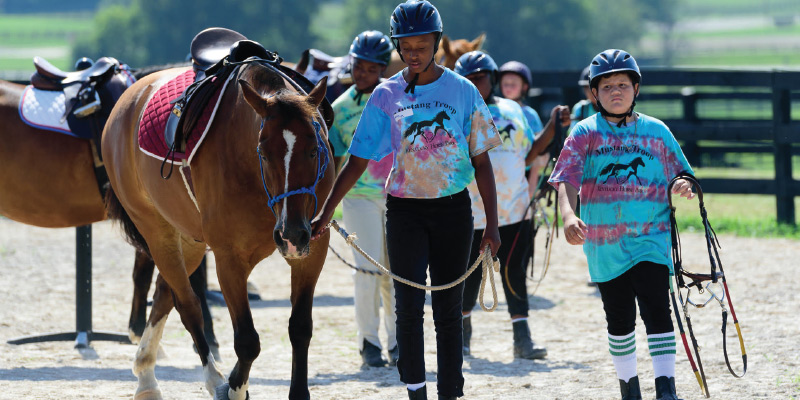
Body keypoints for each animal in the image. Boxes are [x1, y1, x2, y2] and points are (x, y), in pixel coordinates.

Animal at [102, 50, 334, 400]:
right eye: (263, 152)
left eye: (313, 148)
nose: (292, 233)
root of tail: (129, 96)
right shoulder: (229, 260)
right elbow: (247, 341)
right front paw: (235, 387)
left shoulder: (313, 250)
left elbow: (300, 328)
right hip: (158, 232)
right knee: (187, 305)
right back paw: (208, 379)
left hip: (191, 241)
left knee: (164, 294)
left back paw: (146, 373)